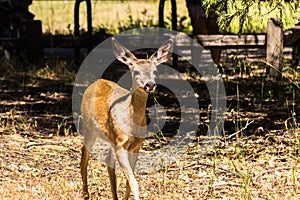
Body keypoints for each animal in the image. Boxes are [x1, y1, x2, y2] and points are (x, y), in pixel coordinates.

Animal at [79, 36, 173, 199]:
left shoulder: (135, 146)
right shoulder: (120, 144)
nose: (150, 84)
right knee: (84, 157)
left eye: (154, 70)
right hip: (89, 129)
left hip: (109, 139)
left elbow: (130, 180)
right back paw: (86, 194)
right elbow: (133, 181)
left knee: (108, 161)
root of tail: (95, 83)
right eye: (135, 71)